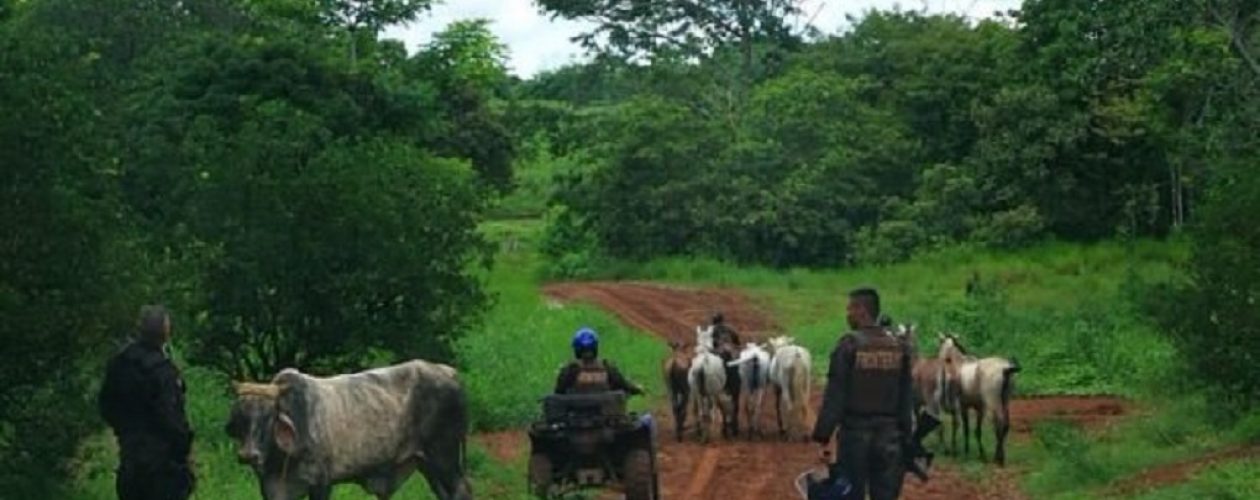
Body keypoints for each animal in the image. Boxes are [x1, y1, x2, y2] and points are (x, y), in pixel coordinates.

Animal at [226, 360, 473, 498]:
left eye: (269, 417)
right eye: (240, 417)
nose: (248, 455)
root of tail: (450, 372)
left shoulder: (321, 484)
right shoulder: (272, 488)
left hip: (444, 458)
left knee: (462, 491)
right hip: (427, 464)